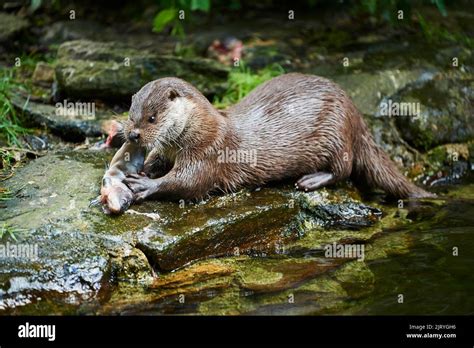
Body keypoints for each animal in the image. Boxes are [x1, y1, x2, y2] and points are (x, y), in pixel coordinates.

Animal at [122, 74, 434, 203]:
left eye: (152, 118)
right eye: (131, 113)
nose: (133, 134)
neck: (203, 128)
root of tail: (355, 112)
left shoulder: (209, 151)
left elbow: (188, 183)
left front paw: (145, 184)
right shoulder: (169, 150)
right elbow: (157, 162)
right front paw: (142, 169)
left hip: (336, 134)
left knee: (344, 170)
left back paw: (312, 180)